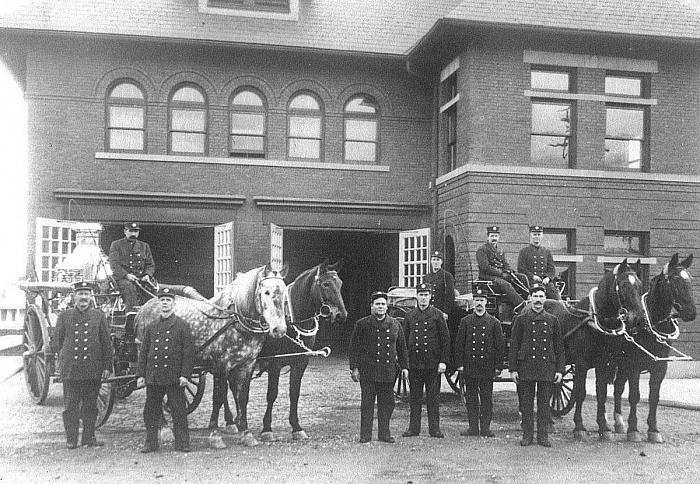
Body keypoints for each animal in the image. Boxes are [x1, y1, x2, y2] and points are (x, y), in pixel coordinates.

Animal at [134, 262, 288, 448]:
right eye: (266, 292)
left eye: (284, 292)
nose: (279, 329)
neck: (233, 320)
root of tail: (144, 308)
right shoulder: (221, 366)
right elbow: (218, 397)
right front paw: (215, 435)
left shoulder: (247, 365)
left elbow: (242, 397)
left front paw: (246, 433)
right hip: (147, 359)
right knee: (155, 389)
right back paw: (164, 429)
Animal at [548, 260, 644, 440]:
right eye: (623, 285)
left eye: (640, 285)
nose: (638, 319)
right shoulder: (581, 364)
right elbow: (581, 393)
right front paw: (579, 427)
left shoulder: (603, 363)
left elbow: (601, 393)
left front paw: (604, 428)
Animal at [612, 255, 696, 444]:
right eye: (675, 280)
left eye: (690, 279)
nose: (691, 313)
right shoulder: (634, 366)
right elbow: (634, 396)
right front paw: (633, 430)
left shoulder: (660, 367)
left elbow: (654, 397)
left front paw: (653, 430)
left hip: (622, 365)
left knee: (618, 387)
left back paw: (619, 422)